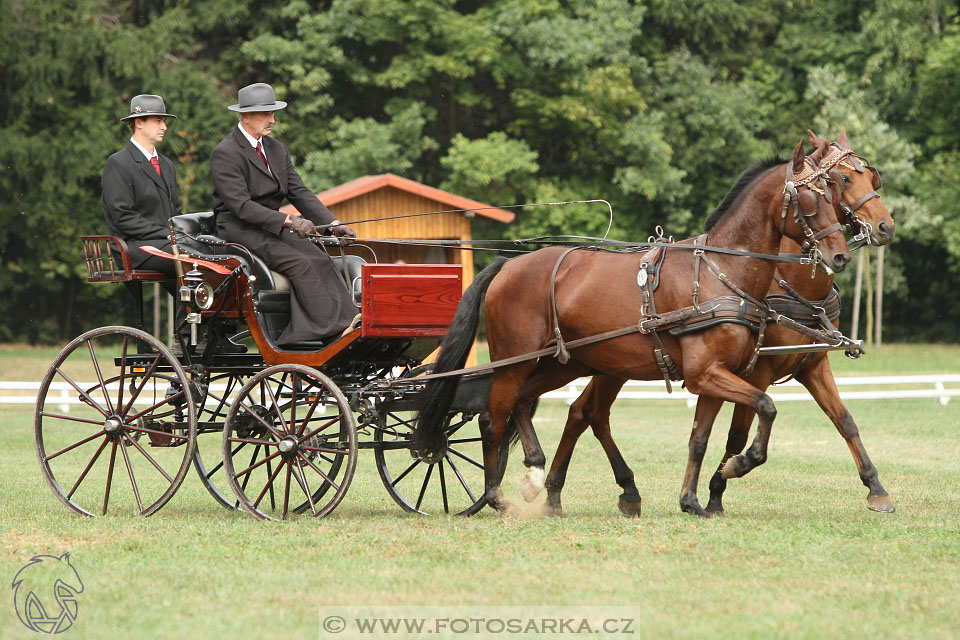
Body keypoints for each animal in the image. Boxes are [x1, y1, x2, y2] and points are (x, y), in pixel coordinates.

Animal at [416, 140, 852, 516]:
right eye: (812, 199)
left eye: (834, 195)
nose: (841, 256)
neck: (720, 270)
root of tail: (508, 264)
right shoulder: (706, 374)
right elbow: (766, 406)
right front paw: (737, 466)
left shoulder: (716, 373)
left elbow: (699, 438)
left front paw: (692, 500)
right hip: (514, 360)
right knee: (494, 419)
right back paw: (496, 496)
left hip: (563, 363)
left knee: (532, 405)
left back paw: (540, 476)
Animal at [528, 130, 896, 516]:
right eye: (842, 180)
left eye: (871, 179)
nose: (885, 227)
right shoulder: (754, 371)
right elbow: (739, 433)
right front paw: (719, 488)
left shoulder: (812, 364)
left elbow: (845, 421)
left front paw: (876, 487)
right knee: (579, 411)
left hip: (608, 365)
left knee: (585, 412)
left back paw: (583, 490)